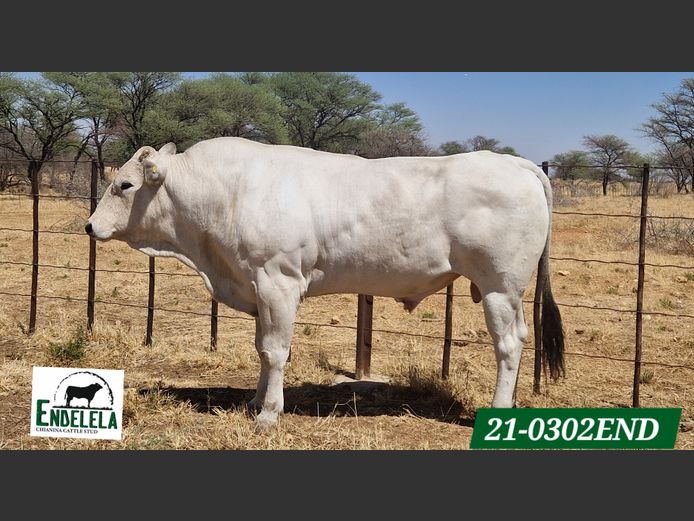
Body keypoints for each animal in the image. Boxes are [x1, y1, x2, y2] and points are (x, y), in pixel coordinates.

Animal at [86, 137, 564, 430]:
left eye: (124, 184)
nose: (90, 226)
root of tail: (515, 162)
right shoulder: (258, 287)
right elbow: (262, 349)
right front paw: (255, 401)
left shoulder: (278, 282)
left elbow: (275, 351)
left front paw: (269, 413)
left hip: (500, 287)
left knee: (509, 345)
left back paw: (499, 411)